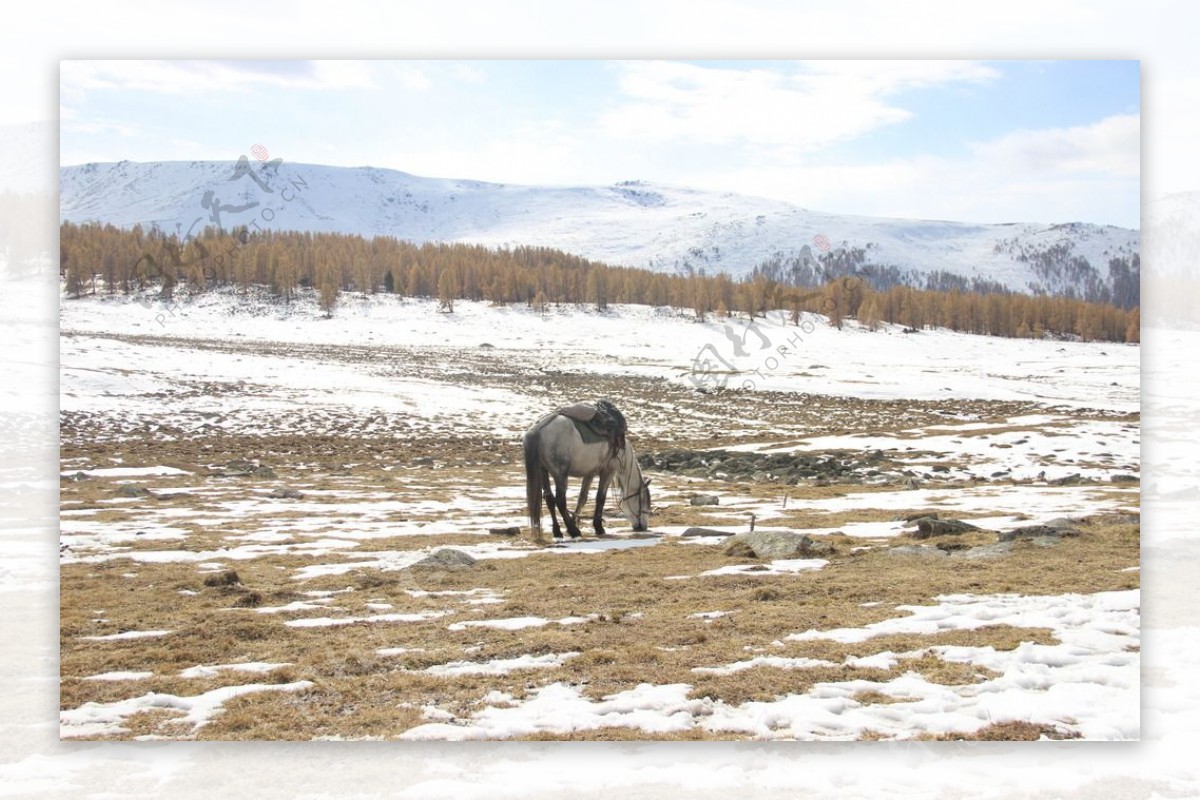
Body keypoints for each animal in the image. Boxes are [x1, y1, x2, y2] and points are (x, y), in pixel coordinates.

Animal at [523, 400, 652, 544]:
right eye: (643, 500)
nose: (643, 527)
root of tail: (539, 429)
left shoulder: (589, 473)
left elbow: (582, 498)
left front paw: (575, 521)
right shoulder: (608, 471)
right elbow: (600, 498)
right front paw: (598, 527)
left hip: (543, 471)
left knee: (549, 499)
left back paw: (558, 532)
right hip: (560, 474)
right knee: (560, 501)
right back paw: (574, 531)